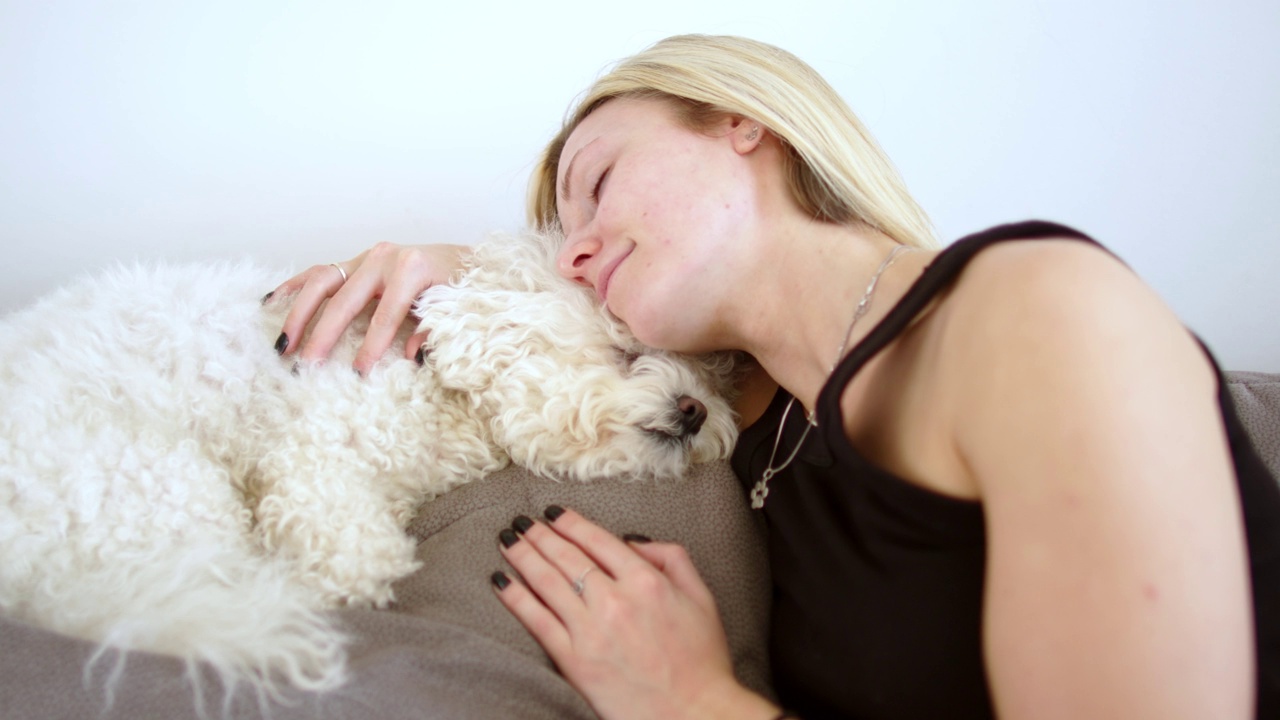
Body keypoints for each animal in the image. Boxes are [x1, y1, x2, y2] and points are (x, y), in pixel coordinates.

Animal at [0, 230, 742, 702]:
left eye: (712, 377)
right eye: (625, 351)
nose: (696, 411)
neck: (441, 386)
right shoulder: (314, 464)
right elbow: (364, 563)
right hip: (157, 487)